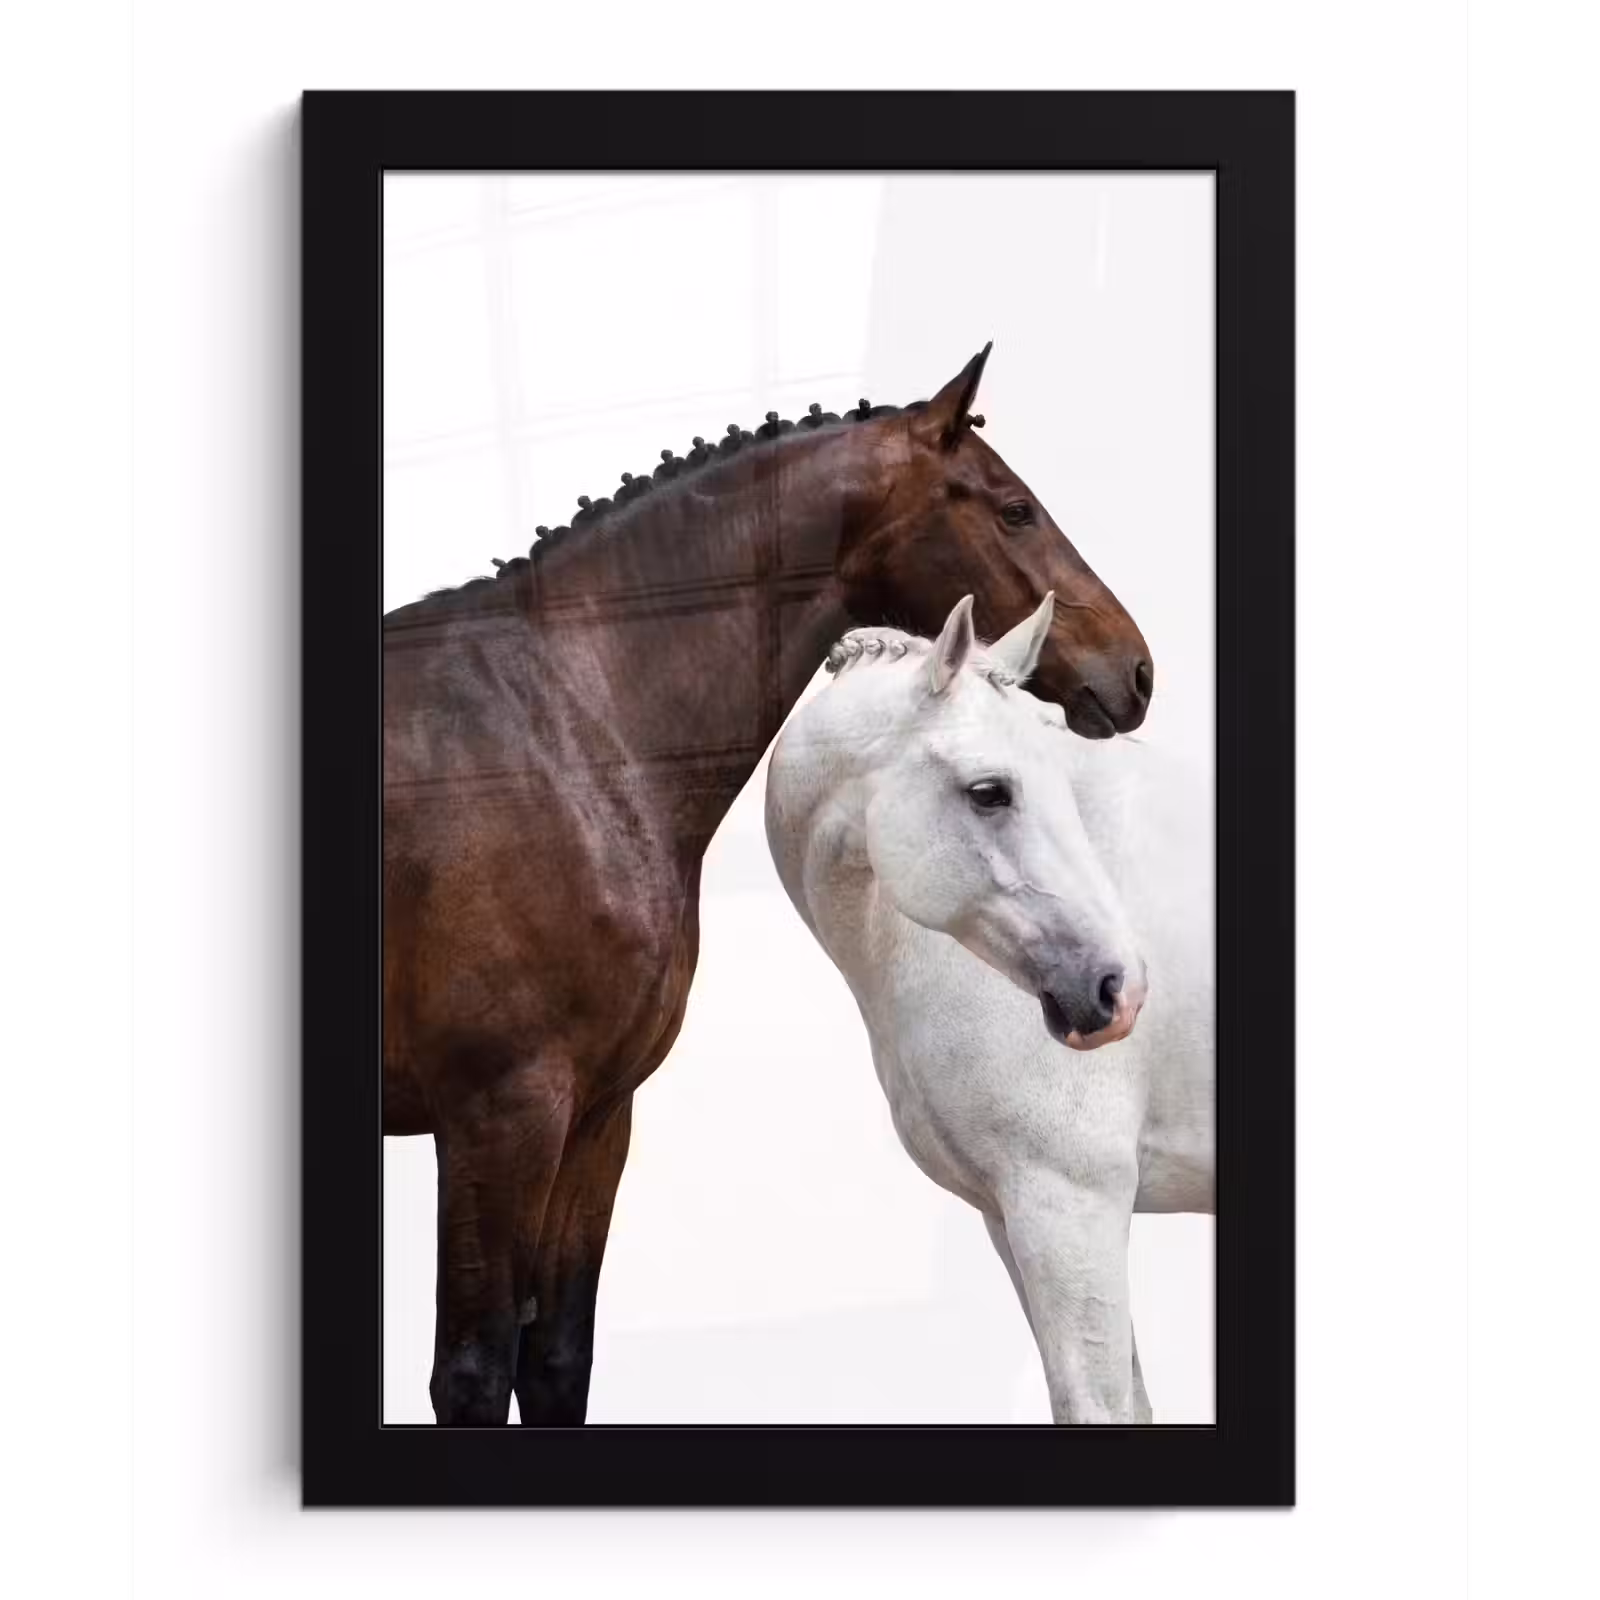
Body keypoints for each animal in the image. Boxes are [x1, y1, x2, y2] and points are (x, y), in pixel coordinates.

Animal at [383, 344, 1155, 1425]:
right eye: (1012, 509)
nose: (1137, 669)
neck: (563, 730)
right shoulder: (497, 1116)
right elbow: (472, 1372)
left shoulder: (595, 1117)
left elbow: (557, 1360)